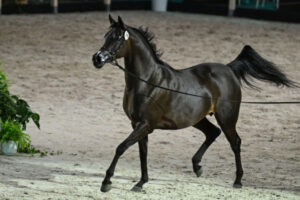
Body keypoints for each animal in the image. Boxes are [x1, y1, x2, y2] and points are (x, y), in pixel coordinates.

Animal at [92, 15, 298, 192]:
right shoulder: (138, 125)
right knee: (213, 132)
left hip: (227, 118)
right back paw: (197, 166)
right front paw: (141, 183)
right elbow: (143, 153)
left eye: (118, 37)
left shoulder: (145, 125)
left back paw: (238, 180)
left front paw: (106, 182)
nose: (97, 58)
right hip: (198, 119)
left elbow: (121, 147)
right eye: (105, 36)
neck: (148, 82)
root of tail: (228, 69)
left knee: (235, 142)